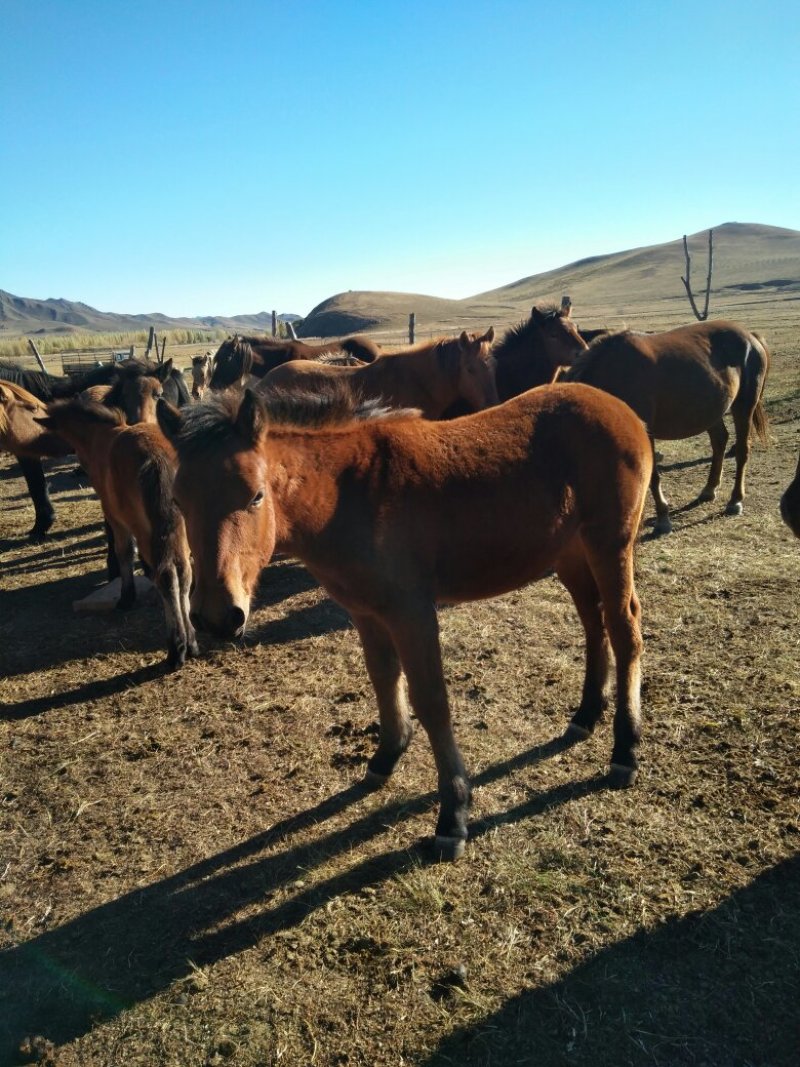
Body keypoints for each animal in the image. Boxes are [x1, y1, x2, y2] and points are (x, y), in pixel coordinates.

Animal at [37, 397, 197, 669]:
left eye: (52, 429)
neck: (100, 437)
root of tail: (158, 458)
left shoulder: (115, 518)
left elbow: (124, 553)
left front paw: (126, 597)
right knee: (184, 572)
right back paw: (192, 642)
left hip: (144, 529)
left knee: (166, 576)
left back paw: (177, 647)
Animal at [156, 380, 652, 858]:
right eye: (178, 501)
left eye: (256, 496)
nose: (217, 617)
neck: (347, 494)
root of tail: (622, 409)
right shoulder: (366, 612)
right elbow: (383, 678)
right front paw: (386, 756)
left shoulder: (412, 613)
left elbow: (431, 700)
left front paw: (453, 814)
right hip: (569, 554)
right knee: (593, 623)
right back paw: (585, 715)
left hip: (609, 546)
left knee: (624, 630)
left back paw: (625, 749)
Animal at [562, 321, 770, 534]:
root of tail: (750, 336)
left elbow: (651, 476)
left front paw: (663, 517)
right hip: (712, 410)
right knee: (719, 441)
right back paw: (709, 489)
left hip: (744, 406)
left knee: (742, 451)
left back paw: (735, 500)